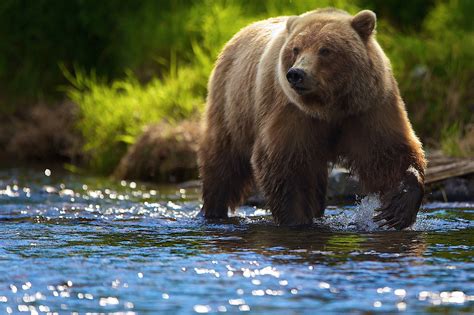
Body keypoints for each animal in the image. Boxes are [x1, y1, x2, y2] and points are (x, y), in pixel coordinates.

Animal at [196, 7, 426, 230]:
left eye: (325, 50)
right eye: (296, 49)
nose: (296, 74)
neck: (330, 107)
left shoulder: (368, 108)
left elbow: (388, 152)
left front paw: (398, 207)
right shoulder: (293, 112)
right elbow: (286, 166)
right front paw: (296, 220)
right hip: (232, 107)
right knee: (223, 162)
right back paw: (213, 210)